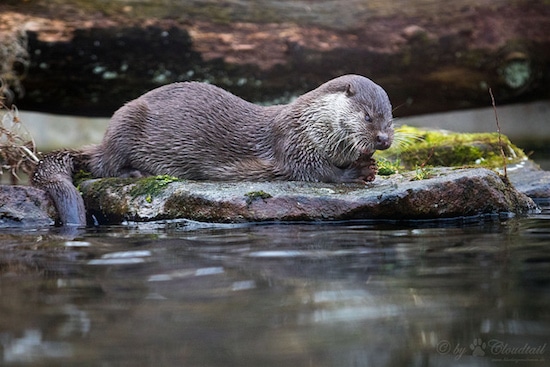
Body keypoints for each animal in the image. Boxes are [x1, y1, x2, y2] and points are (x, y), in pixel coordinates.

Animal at [32, 74, 394, 226]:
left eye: (390, 118)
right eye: (367, 117)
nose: (384, 140)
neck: (312, 122)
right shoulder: (293, 143)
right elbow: (316, 172)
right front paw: (360, 170)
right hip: (124, 123)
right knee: (104, 166)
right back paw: (133, 172)